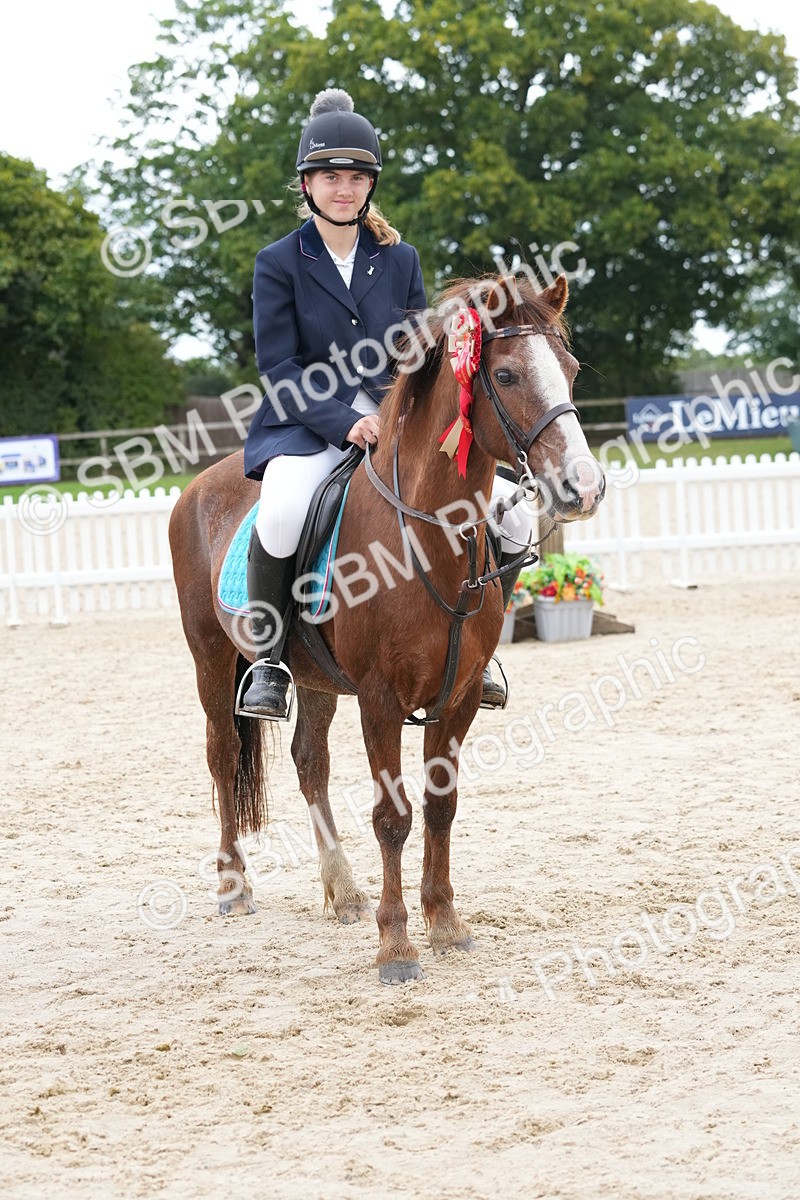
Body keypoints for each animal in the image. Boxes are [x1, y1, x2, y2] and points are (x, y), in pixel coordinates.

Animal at [168, 272, 605, 984]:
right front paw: (397, 945)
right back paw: (234, 886)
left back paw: (343, 890)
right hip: (211, 658)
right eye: (506, 375)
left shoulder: (458, 698)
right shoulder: (379, 698)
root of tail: (200, 482)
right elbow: (392, 816)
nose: (583, 487)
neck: (428, 537)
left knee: (309, 763)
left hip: (316, 679)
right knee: (224, 754)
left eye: (568, 369)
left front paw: (445, 923)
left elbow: (440, 806)